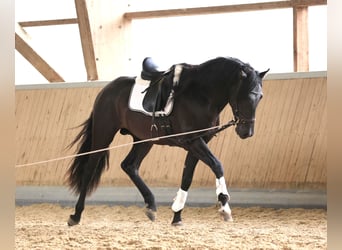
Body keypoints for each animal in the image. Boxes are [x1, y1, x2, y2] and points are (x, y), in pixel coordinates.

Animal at [67, 56, 268, 227]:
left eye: (260, 97)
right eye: (243, 96)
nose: (246, 132)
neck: (201, 95)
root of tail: (107, 89)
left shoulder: (197, 142)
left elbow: (187, 177)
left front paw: (177, 216)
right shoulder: (193, 142)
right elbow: (217, 165)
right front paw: (225, 207)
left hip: (144, 139)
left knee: (129, 166)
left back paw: (151, 206)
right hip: (104, 133)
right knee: (90, 169)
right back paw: (76, 215)